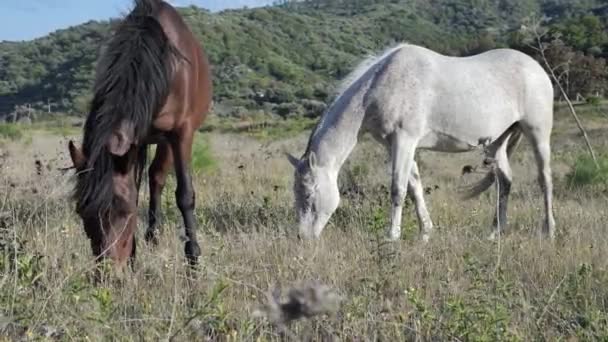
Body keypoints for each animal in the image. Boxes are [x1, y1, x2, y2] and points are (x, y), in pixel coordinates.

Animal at [67, 0, 213, 268]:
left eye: (124, 213)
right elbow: (135, 191)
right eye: (82, 211)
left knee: (157, 177)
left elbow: (185, 194)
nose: (106, 271)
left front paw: (193, 258)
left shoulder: (181, 133)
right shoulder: (135, 138)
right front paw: (134, 258)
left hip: (166, 139)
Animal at [288, 42, 560, 240]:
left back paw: (548, 231)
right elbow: (415, 188)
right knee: (505, 181)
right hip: (497, 143)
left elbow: (398, 189)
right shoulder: (396, 146)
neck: (380, 86)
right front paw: (426, 233)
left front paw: (392, 237)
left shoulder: (404, 140)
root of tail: (536, 68)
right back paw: (495, 232)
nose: (303, 238)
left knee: (544, 179)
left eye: (310, 195)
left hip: (538, 133)